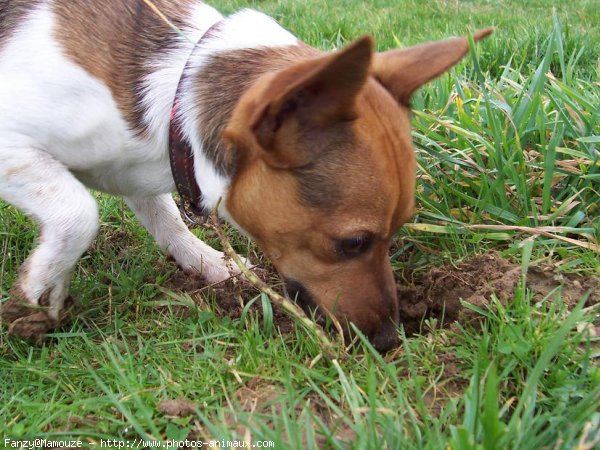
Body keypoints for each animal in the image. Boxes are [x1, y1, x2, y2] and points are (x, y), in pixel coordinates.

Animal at [0, 0, 490, 352]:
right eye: (352, 243)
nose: (390, 341)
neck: (179, 91)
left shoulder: (131, 170)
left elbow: (164, 219)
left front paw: (209, 262)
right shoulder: (13, 145)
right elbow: (79, 212)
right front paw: (36, 295)